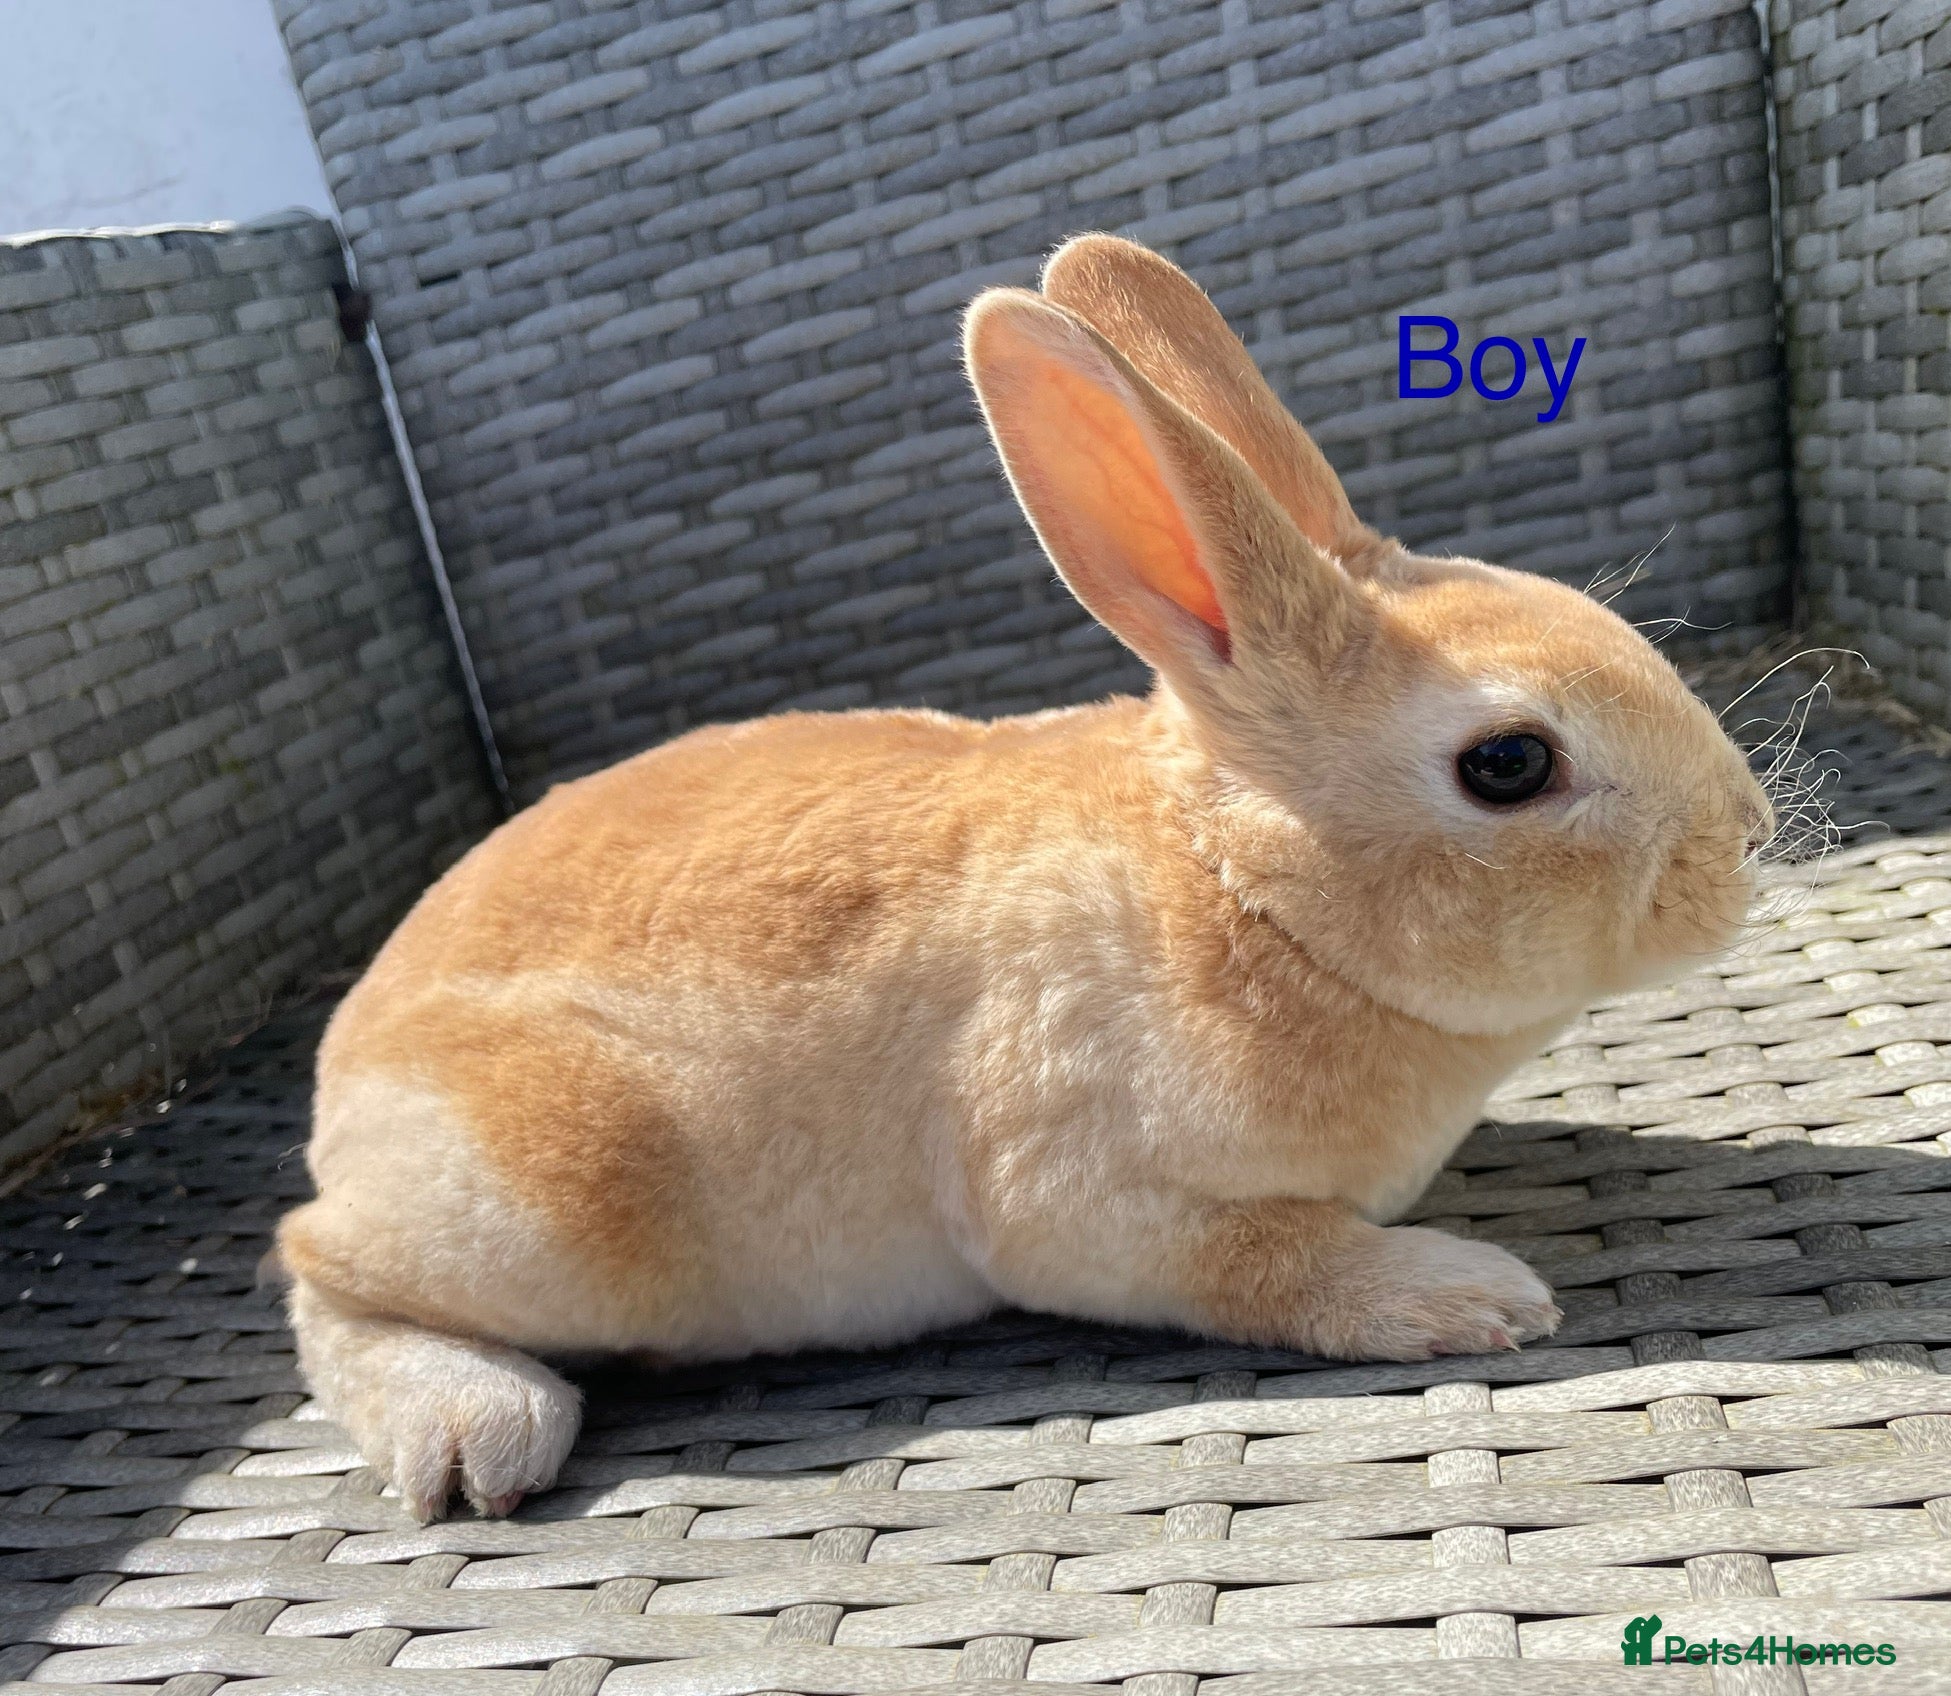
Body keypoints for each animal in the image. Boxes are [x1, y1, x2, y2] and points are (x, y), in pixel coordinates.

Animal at [277, 233, 1773, 1521]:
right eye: (1508, 764)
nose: (1748, 838)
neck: (1247, 898)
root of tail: (335, 1088)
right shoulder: (1092, 1206)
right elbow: (1268, 1259)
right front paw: (1468, 1295)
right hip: (565, 1187)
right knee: (316, 1268)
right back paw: (473, 1431)